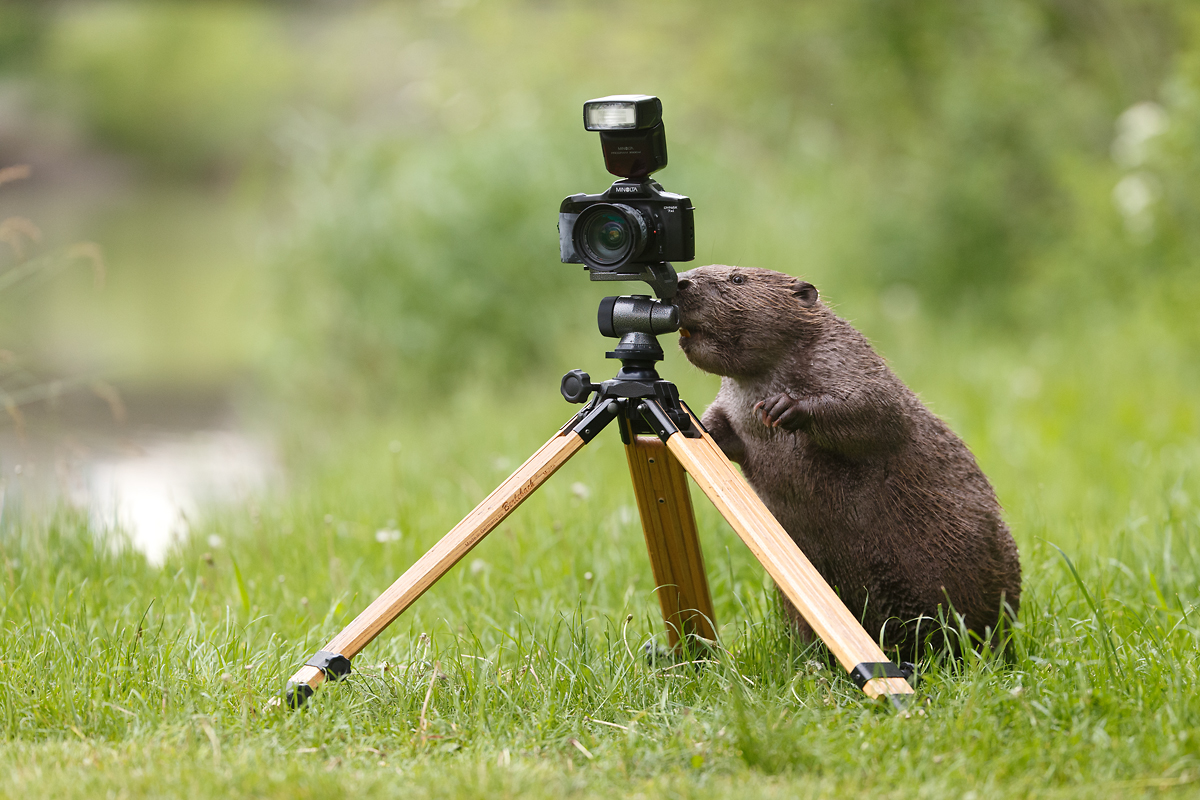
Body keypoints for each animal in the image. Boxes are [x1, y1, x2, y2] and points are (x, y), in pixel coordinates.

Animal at [676, 266, 1022, 662]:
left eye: (737, 279)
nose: (680, 281)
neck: (760, 379)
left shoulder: (845, 358)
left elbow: (876, 408)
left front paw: (782, 408)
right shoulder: (732, 402)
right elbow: (719, 426)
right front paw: (701, 429)